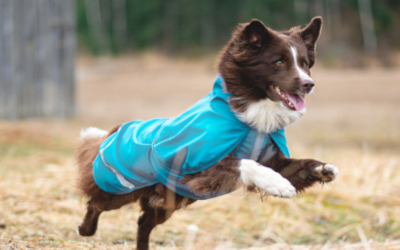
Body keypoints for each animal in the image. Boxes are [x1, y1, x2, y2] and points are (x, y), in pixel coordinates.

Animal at [75, 16, 338, 249]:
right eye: (279, 62)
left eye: (305, 64)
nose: (308, 84)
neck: (249, 120)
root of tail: (111, 133)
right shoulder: (191, 165)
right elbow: (242, 163)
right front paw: (279, 185)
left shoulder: (272, 159)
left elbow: (296, 165)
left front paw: (323, 168)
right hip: (119, 188)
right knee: (96, 203)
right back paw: (85, 229)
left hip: (166, 201)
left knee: (143, 223)